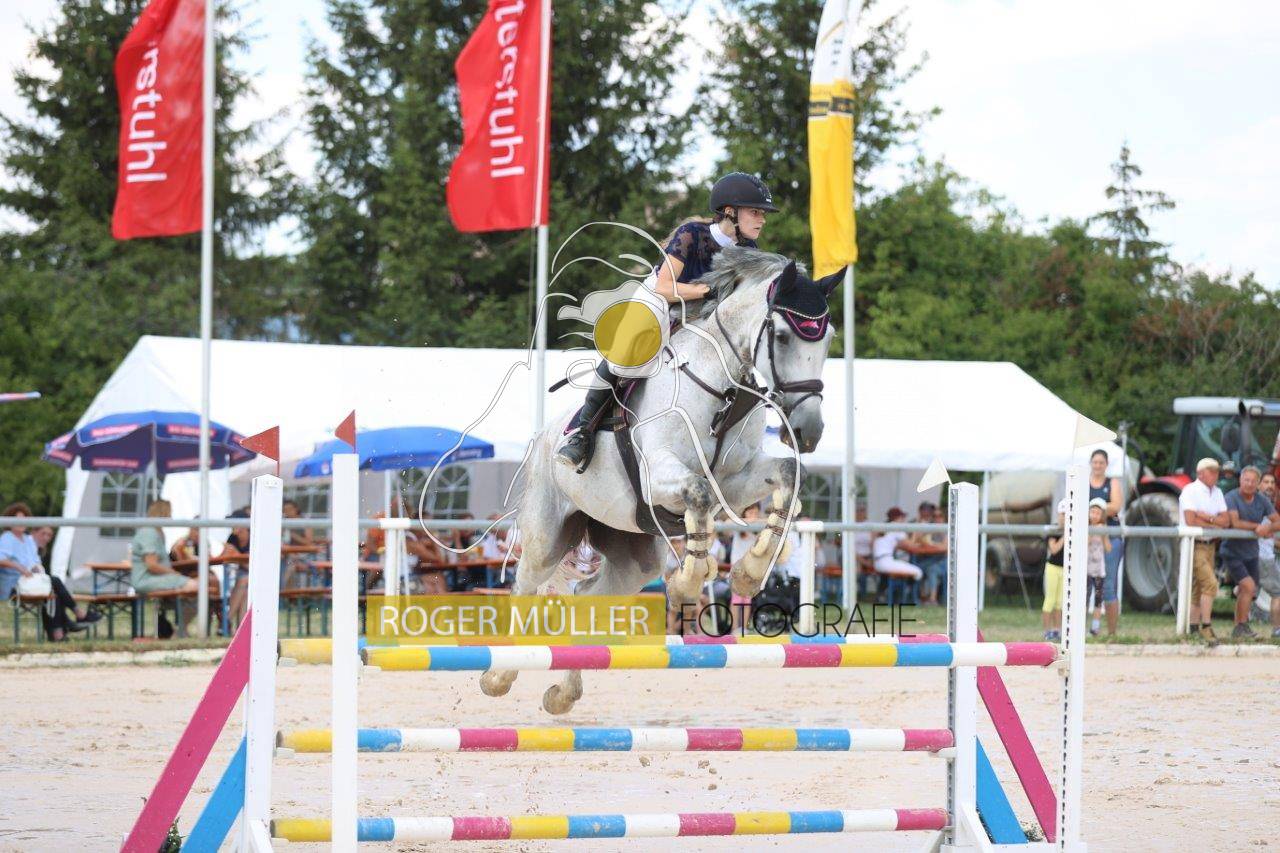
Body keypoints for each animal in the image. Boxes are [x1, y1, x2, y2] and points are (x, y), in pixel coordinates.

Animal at [481, 247, 844, 714]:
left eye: (829, 338)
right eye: (781, 337)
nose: (807, 431)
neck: (720, 386)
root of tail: (544, 436)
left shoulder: (734, 481)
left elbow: (785, 473)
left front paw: (747, 572)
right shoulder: (660, 475)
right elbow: (698, 493)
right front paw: (688, 583)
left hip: (634, 556)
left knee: (588, 596)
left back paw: (563, 693)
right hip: (548, 534)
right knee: (525, 588)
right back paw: (499, 676)